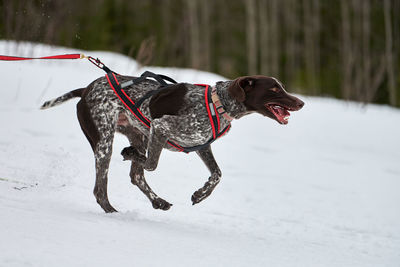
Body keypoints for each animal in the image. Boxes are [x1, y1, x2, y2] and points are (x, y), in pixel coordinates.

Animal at [41, 75, 304, 214]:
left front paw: (201, 194)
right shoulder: (161, 127)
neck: (219, 104)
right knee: (101, 188)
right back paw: (112, 211)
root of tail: (86, 89)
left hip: (138, 135)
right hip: (105, 141)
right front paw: (131, 155)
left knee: (136, 176)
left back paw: (157, 201)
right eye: (274, 88)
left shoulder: (201, 144)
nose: (301, 102)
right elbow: (151, 164)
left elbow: (217, 174)